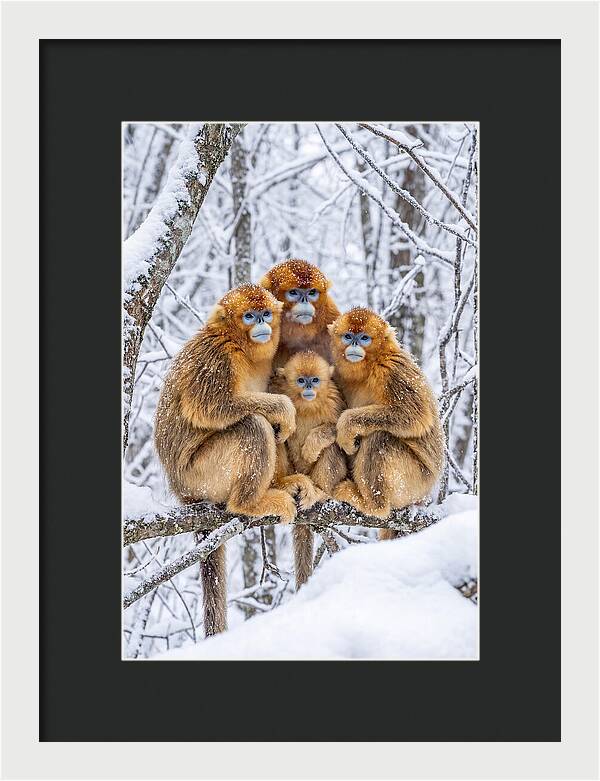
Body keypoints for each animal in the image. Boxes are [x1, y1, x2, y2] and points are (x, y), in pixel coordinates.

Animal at [154, 284, 298, 636]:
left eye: (265, 313)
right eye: (249, 315)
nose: (262, 324)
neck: (241, 348)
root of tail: (182, 491)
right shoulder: (216, 357)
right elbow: (211, 408)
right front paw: (283, 407)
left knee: (269, 429)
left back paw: (280, 484)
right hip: (201, 475)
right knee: (253, 425)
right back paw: (249, 503)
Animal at [269, 351, 347, 588]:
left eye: (314, 380)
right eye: (301, 381)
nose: (309, 388)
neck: (306, 404)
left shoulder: (334, 399)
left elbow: (339, 430)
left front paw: (312, 446)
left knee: (332, 447)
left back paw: (320, 492)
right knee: (275, 435)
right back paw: (283, 484)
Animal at [328, 307, 444, 539]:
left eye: (364, 338)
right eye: (348, 336)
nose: (355, 344)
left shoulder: (392, 369)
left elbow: (415, 415)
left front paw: (346, 426)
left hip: (415, 482)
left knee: (380, 438)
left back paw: (373, 505)